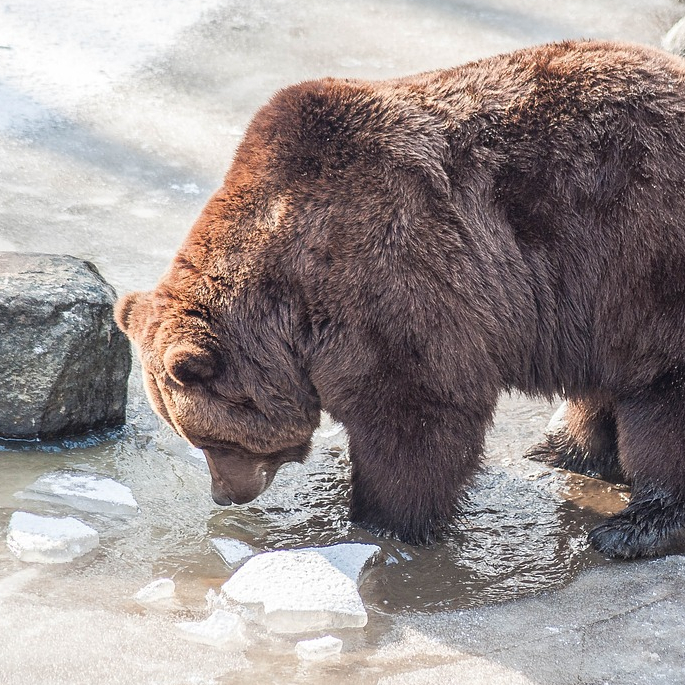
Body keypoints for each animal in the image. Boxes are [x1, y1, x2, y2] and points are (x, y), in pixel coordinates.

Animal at [115, 40, 684, 560]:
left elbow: (414, 412)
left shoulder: (391, 269)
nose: (224, 496)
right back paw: (564, 451)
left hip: (641, 255)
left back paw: (634, 527)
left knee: (663, 398)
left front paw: (381, 521)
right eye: (194, 439)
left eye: (212, 442)